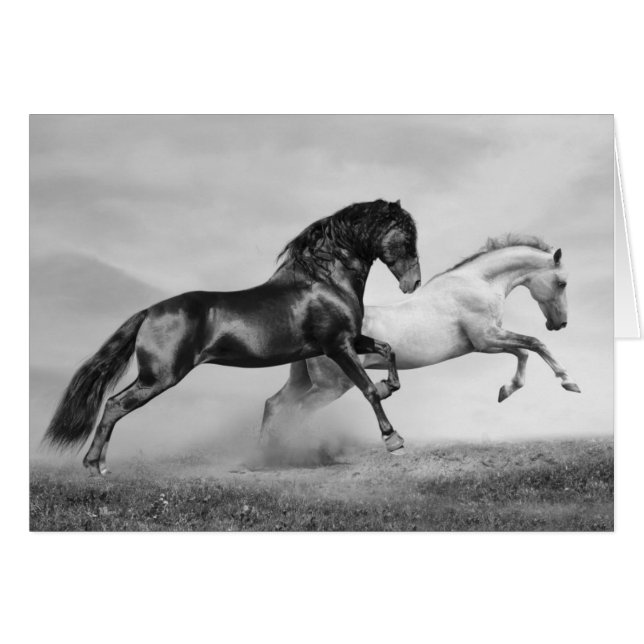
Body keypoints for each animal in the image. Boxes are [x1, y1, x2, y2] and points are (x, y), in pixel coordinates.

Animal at [44, 199, 421, 475]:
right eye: (406, 237)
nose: (413, 283)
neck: (325, 281)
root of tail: (149, 311)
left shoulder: (351, 339)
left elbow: (387, 350)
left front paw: (390, 386)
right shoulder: (337, 346)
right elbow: (368, 389)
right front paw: (393, 439)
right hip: (159, 377)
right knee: (113, 405)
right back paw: (95, 466)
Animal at [260, 234, 581, 444]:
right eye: (561, 283)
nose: (559, 324)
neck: (478, 283)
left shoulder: (490, 340)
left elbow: (524, 352)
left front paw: (506, 390)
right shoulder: (486, 340)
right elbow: (534, 344)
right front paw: (569, 383)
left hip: (303, 380)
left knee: (274, 405)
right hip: (330, 387)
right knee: (297, 411)